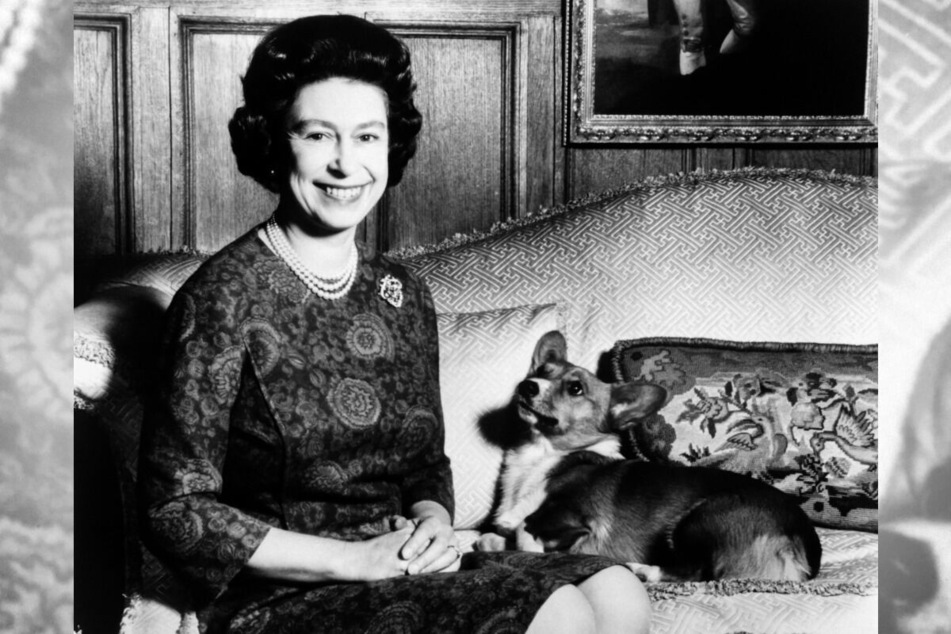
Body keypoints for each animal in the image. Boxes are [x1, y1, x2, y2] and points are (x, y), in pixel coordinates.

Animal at [480, 330, 820, 584]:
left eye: (575, 388)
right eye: (541, 372)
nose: (527, 385)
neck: (542, 455)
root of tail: (802, 548)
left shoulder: (578, 519)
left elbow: (524, 529)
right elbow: (494, 536)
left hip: (699, 517)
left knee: (699, 572)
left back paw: (643, 570)